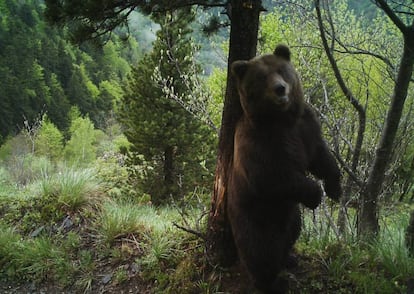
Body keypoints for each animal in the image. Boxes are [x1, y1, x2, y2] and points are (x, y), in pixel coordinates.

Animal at [228, 44, 342, 292]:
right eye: (262, 77)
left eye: (281, 70)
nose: (280, 89)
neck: (281, 119)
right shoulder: (258, 144)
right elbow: (272, 177)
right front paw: (315, 194)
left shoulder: (305, 126)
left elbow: (320, 156)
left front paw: (335, 188)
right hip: (253, 218)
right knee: (260, 253)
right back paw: (272, 281)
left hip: (291, 216)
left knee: (292, 233)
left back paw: (289, 258)